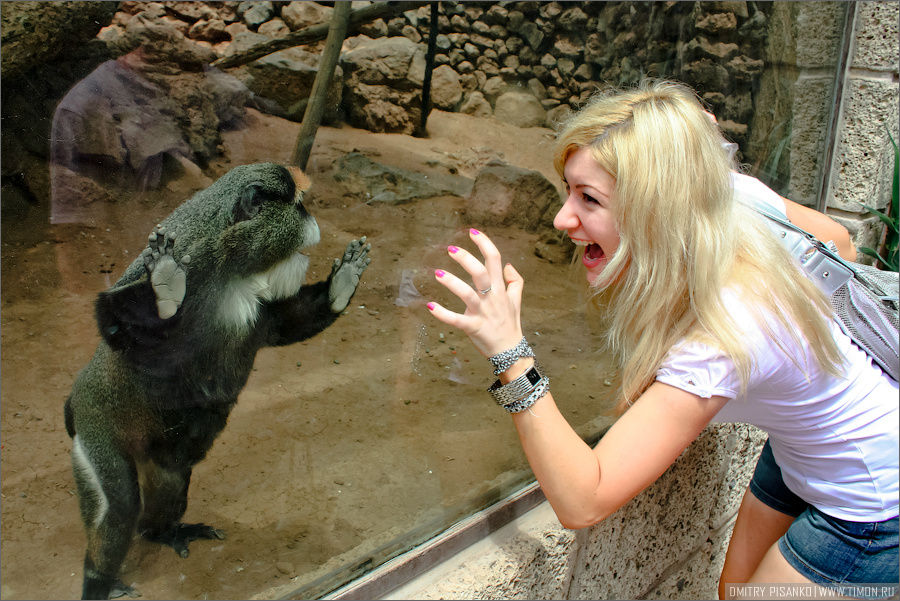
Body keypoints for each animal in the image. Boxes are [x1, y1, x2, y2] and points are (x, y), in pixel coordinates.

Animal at [63, 159, 370, 596]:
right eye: (299, 205)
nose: (314, 219)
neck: (235, 267)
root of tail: (74, 404)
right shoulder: (194, 256)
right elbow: (113, 320)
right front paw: (165, 289)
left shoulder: (262, 311)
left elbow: (284, 325)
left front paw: (341, 286)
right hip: (98, 432)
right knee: (119, 506)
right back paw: (98, 580)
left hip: (162, 456)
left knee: (169, 480)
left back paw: (163, 532)